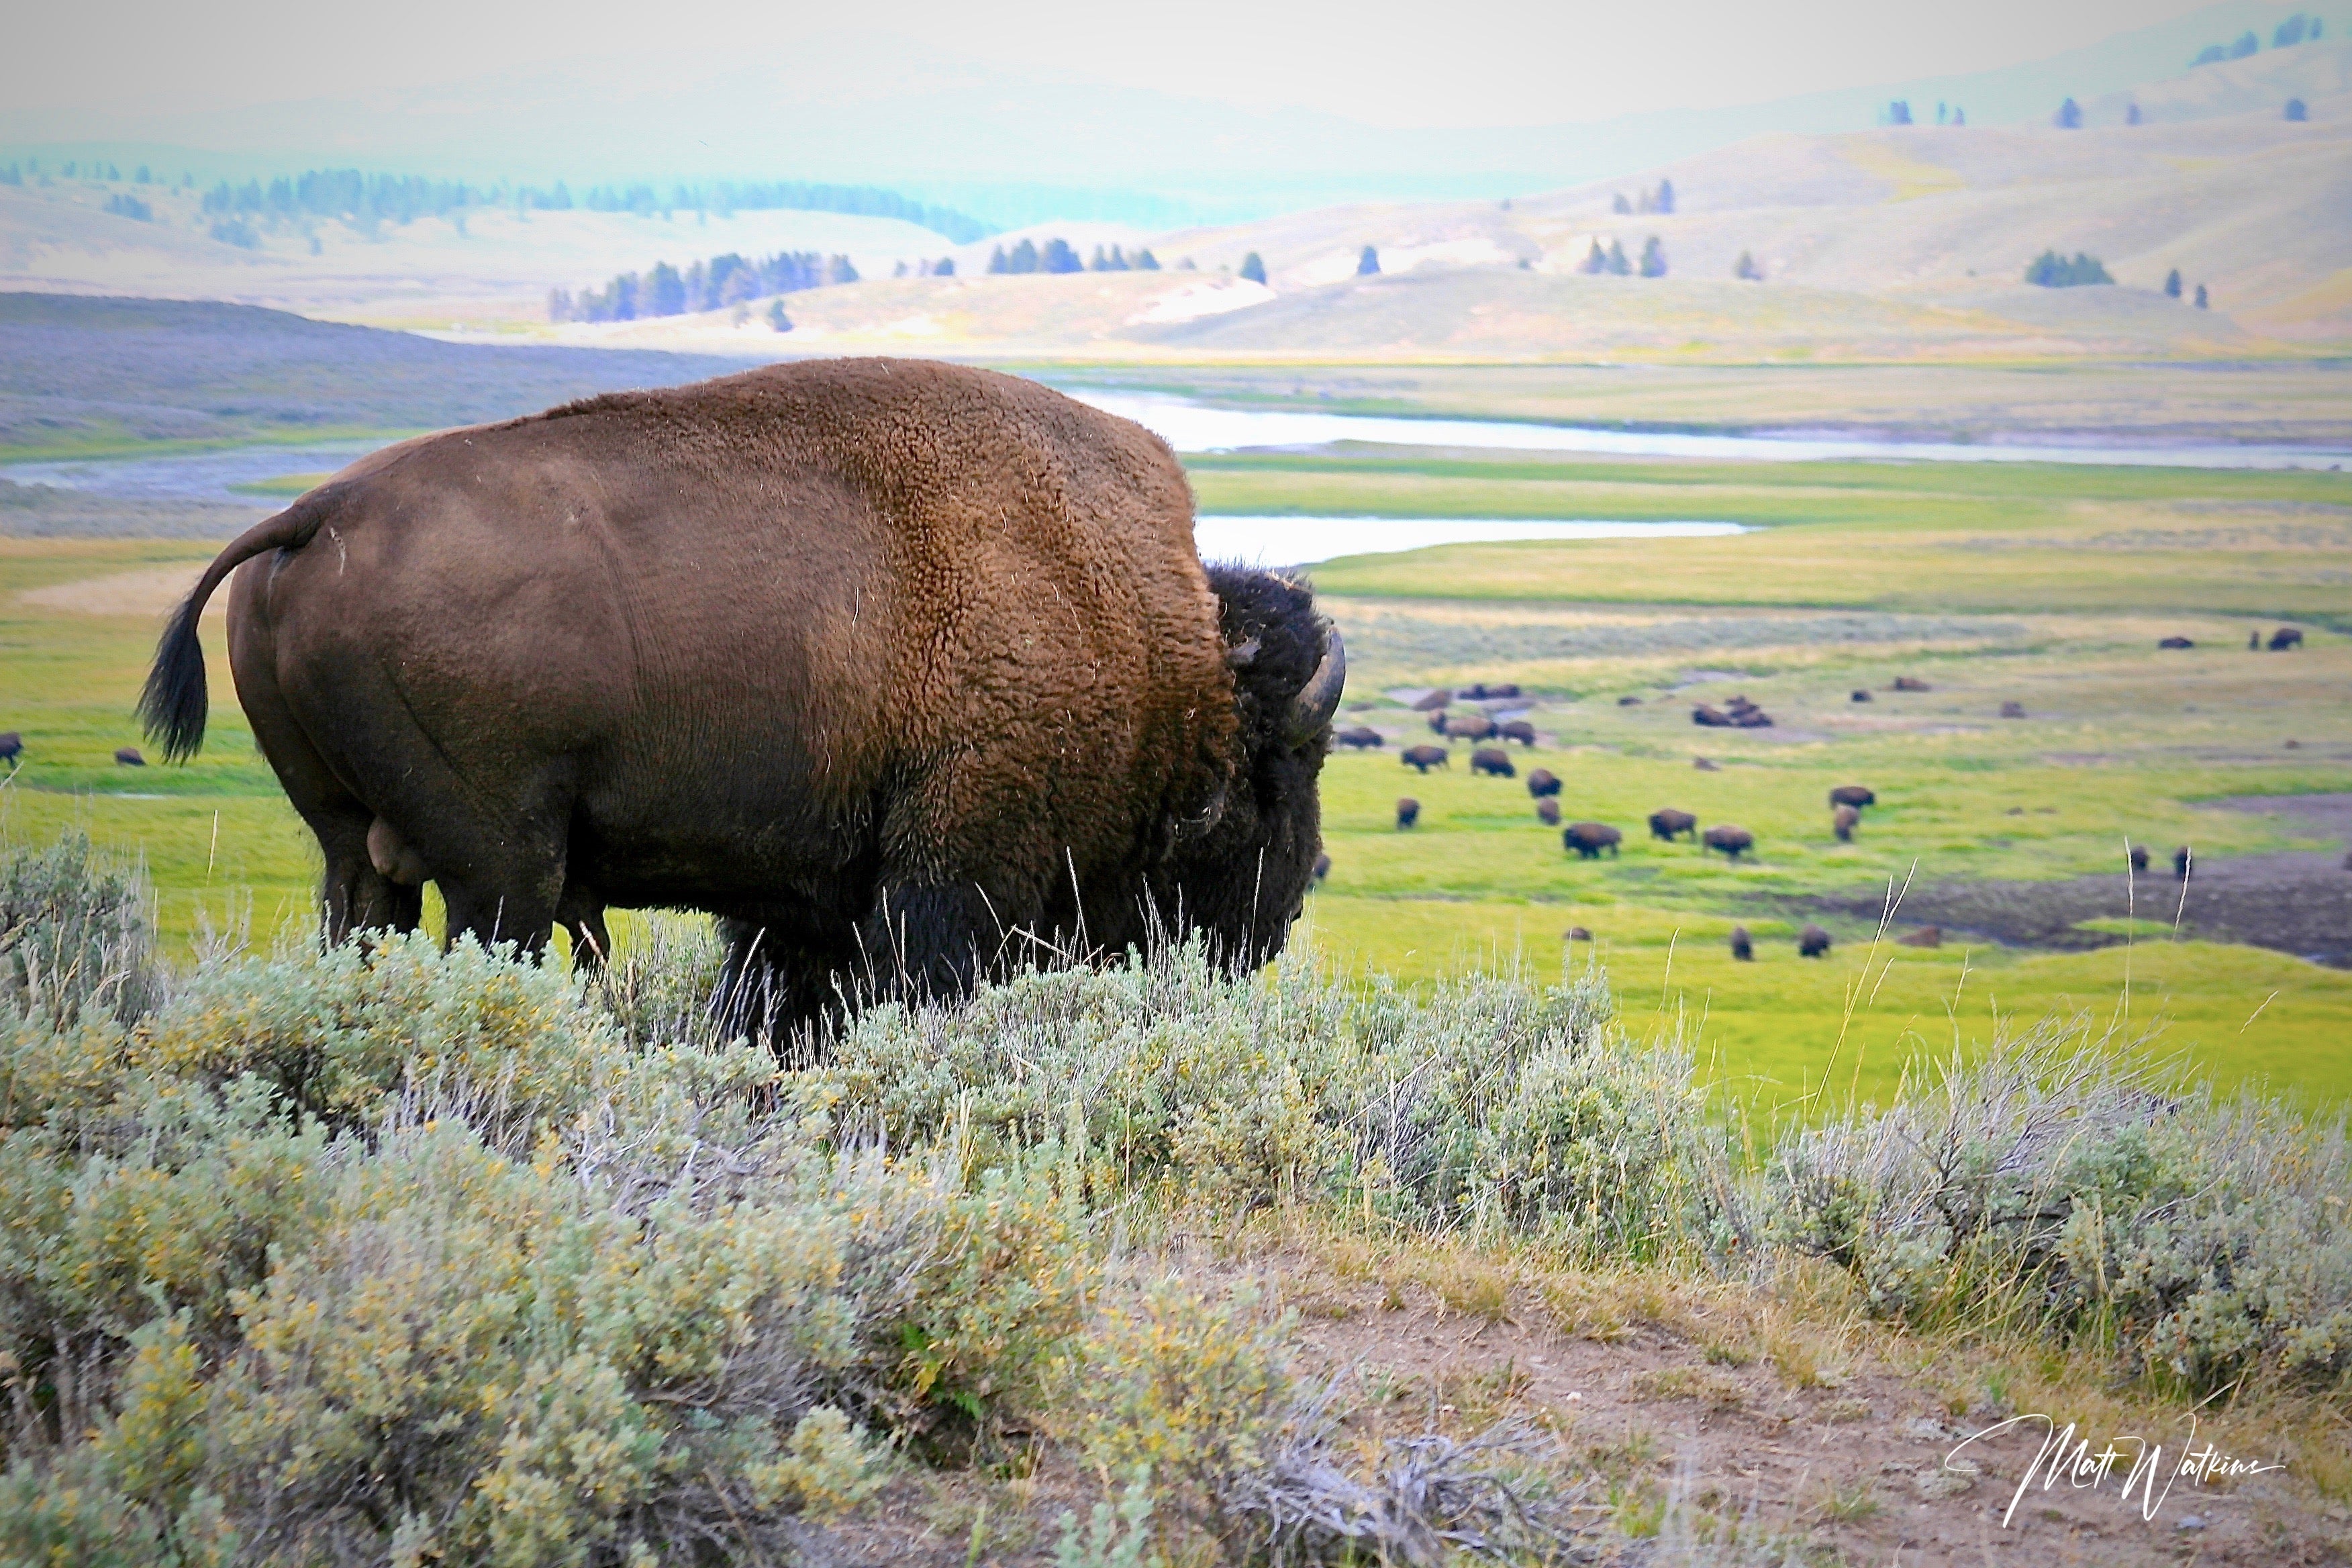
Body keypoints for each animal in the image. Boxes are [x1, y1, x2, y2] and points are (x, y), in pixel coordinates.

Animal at [133, 354, 1345, 1029]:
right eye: (1282, 775)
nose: (1281, 916)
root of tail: (319, 514)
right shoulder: (951, 875)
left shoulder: (805, 900)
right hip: (501, 868)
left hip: (352, 850)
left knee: (358, 922)